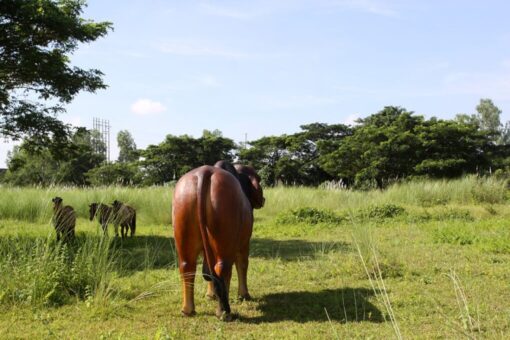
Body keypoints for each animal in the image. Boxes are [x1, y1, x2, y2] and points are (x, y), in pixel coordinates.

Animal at [173, 163, 264, 320]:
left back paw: (188, 309)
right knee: (223, 267)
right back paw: (224, 312)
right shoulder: (244, 243)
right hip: (225, 244)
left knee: (187, 267)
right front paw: (244, 295)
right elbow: (242, 265)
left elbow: (207, 272)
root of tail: (204, 172)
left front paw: (211, 295)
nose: (263, 199)